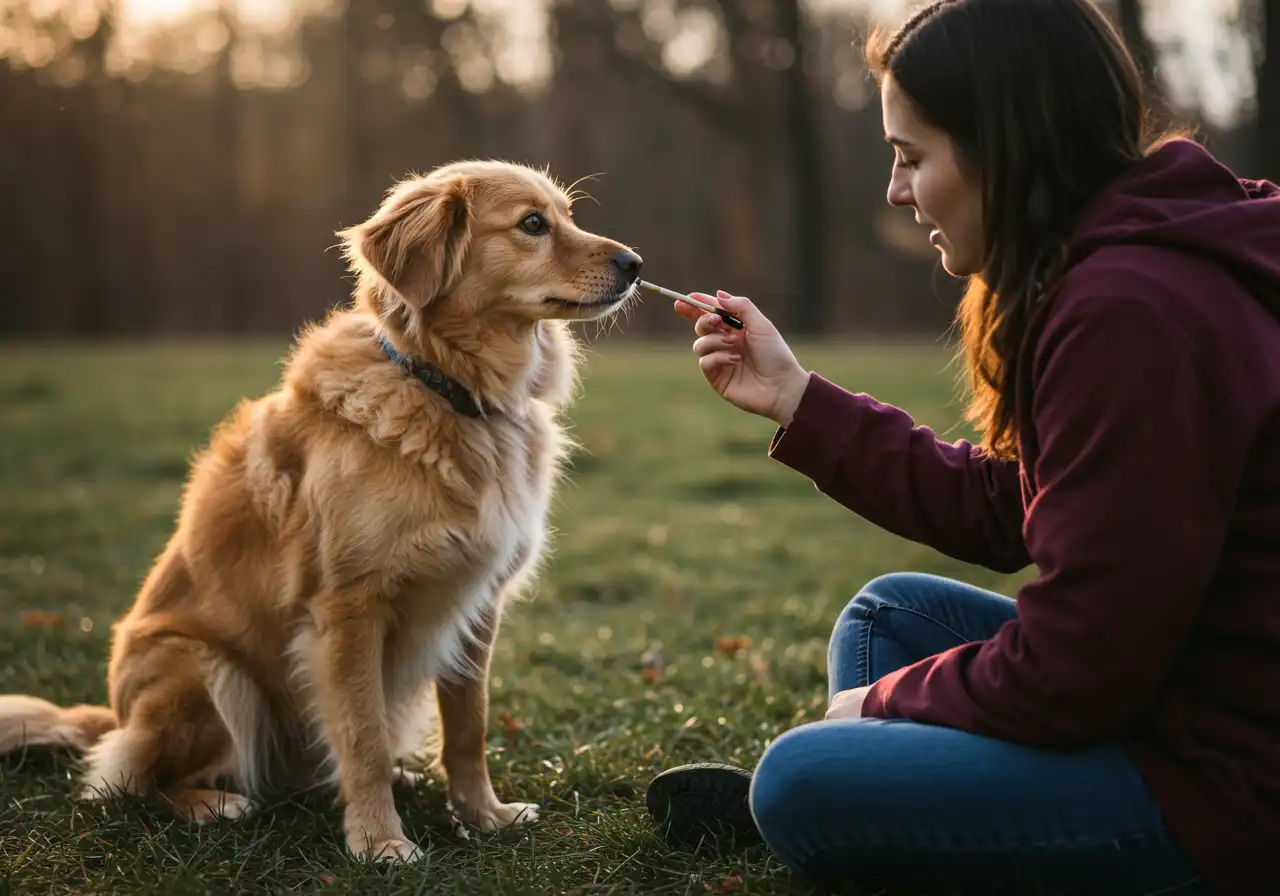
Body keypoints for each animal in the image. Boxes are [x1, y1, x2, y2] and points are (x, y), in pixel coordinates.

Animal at [0, 159, 640, 860]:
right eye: (531, 224)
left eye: (568, 216)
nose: (635, 263)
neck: (447, 389)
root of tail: (114, 714)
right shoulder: (348, 608)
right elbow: (361, 736)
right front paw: (380, 842)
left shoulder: (477, 603)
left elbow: (468, 727)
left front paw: (483, 816)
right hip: (208, 671)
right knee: (128, 781)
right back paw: (210, 803)